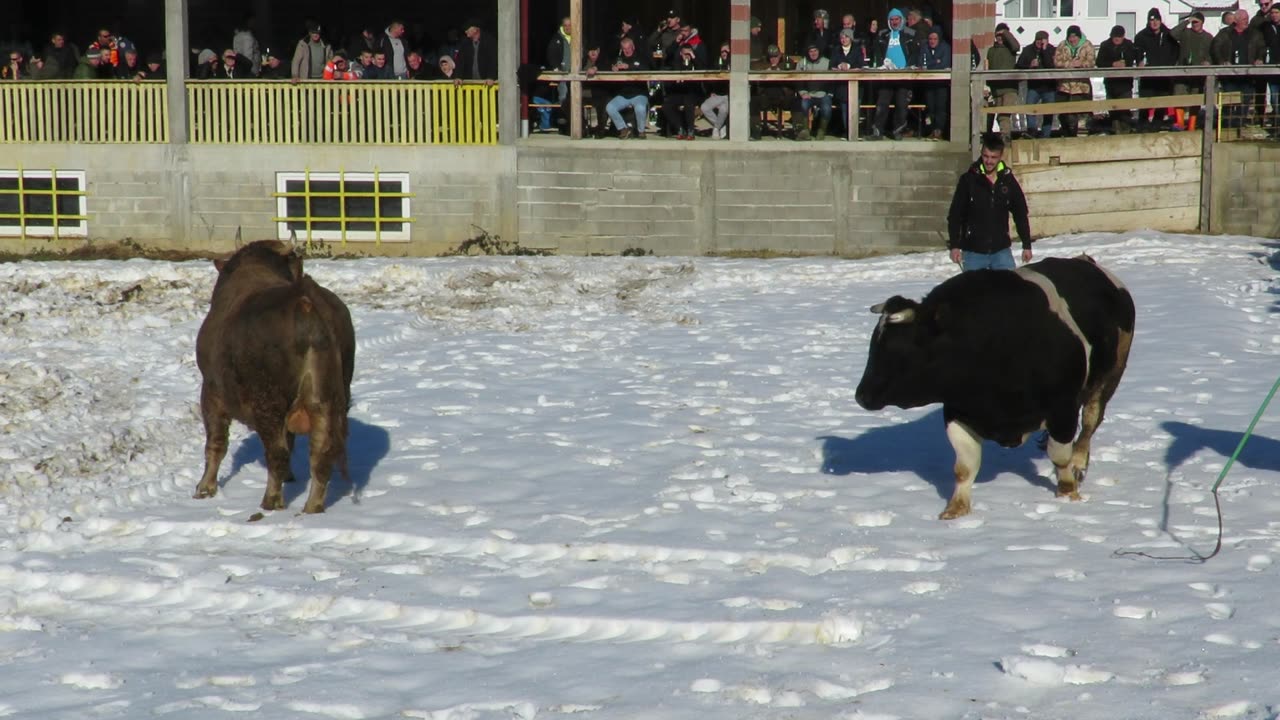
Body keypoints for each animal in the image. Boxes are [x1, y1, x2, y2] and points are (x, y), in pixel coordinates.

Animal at [194, 239, 355, 509]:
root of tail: (305, 300)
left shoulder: (211, 391)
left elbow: (216, 442)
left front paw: (204, 487)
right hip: (327, 398)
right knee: (321, 452)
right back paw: (311, 506)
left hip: (268, 401)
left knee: (276, 451)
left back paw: (271, 500)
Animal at [855, 254, 1136, 517]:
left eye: (899, 349)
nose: (862, 396)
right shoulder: (958, 411)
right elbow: (964, 467)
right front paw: (956, 510)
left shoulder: (1062, 409)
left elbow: (1060, 456)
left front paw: (1068, 493)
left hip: (1109, 376)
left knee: (1089, 423)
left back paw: (1079, 462)